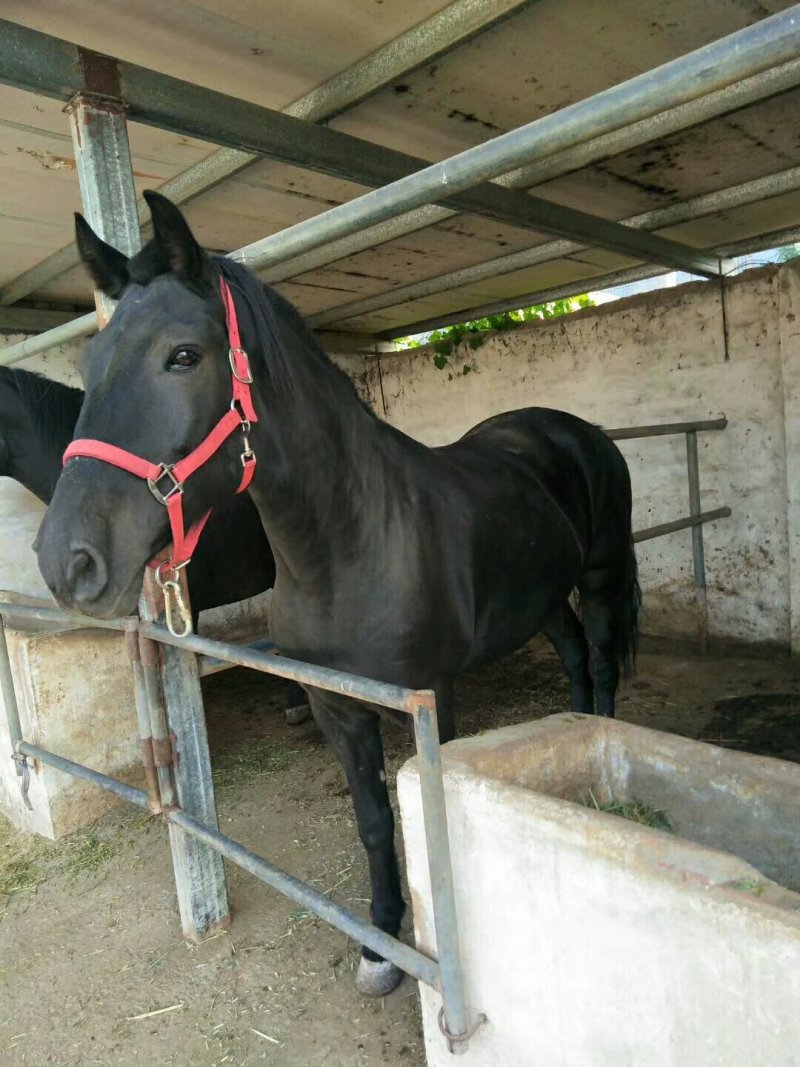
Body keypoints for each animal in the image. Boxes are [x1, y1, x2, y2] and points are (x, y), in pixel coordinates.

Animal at [35, 192, 640, 997]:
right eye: (88, 363)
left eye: (183, 355)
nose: (65, 561)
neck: (350, 547)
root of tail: (573, 430)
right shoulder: (336, 707)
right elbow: (375, 821)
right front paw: (381, 943)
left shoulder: (431, 700)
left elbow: (421, 822)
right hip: (540, 600)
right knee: (573, 656)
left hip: (600, 574)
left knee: (600, 659)